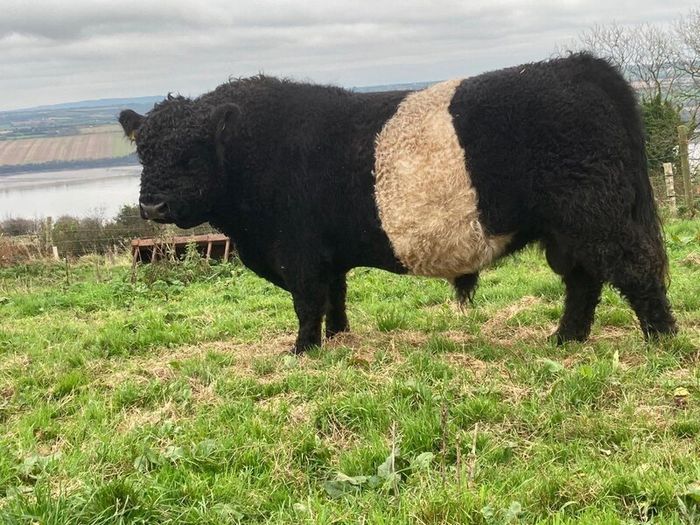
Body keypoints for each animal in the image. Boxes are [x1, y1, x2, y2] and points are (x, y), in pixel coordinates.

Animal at [119, 53, 677, 353]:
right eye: (143, 152)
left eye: (190, 155)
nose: (153, 207)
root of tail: (579, 65)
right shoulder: (327, 254)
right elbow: (335, 297)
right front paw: (338, 339)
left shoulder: (298, 251)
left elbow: (307, 301)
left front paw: (302, 350)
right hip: (568, 227)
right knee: (584, 279)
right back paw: (566, 338)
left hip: (596, 214)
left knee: (633, 268)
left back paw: (661, 339)